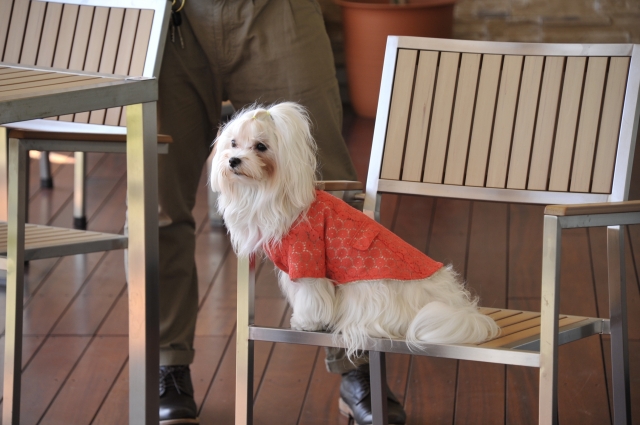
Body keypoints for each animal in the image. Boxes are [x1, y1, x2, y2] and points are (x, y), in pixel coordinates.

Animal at [210, 101, 500, 356]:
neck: (270, 193)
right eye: (233, 143)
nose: (233, 160)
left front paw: (305, 322)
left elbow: (311, 297)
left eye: (261, 147)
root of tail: (459, 308)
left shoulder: (308, 259)